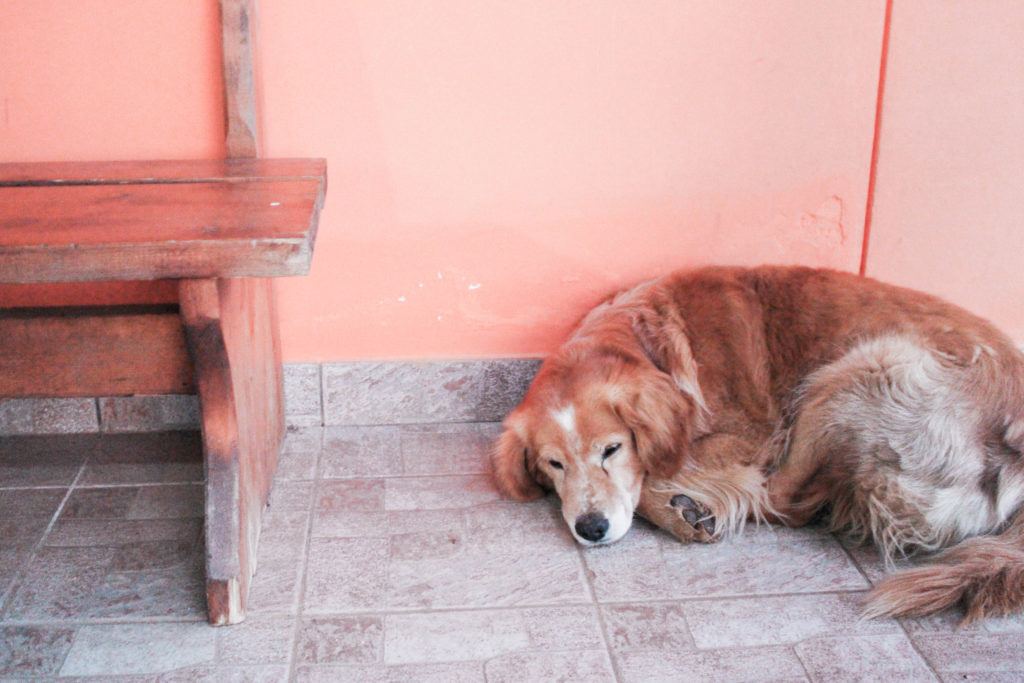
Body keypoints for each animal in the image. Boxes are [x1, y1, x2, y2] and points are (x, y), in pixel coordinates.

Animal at [493, 266, 1024, 626]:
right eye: (554, 464)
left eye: (612, 449)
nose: (591, 528)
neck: (648, 342)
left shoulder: (746, 435)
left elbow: (655, 474)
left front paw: (679, 499)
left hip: (862, 370)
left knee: (786, 501)